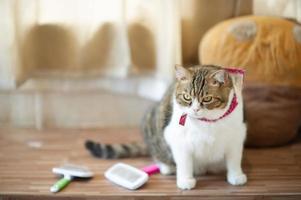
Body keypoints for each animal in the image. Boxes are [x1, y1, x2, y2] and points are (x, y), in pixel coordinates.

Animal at [85, 64, 246, 189]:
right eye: (187, 97)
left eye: (207, 99)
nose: (195, 109)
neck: (208, 123)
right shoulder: (179, 139)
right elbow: (184, 161)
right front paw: (185, 180)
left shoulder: (237, 136)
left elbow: (234, 159)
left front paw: (236, 176)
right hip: (151, 121)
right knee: (157, 152)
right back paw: (166, 166)